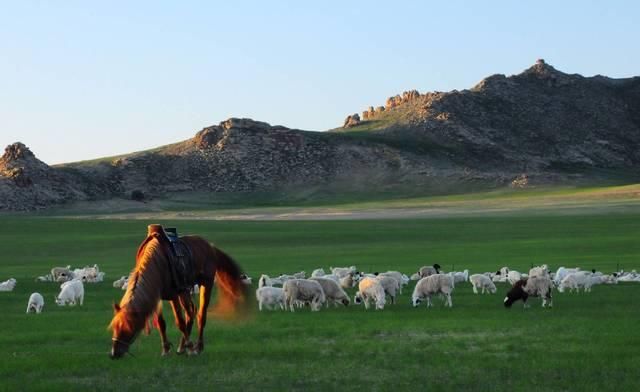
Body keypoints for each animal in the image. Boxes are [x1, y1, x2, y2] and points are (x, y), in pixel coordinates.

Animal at [107, 225, 248, 360]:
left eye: (128, 326)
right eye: (114, 327)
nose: (114, 354)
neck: (158, 263)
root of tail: (210, 246)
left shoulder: (174, 295)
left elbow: (179, 322)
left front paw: (190, 348)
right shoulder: (157, 297)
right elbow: (161, 323)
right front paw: (166, 350)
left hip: (205, 284)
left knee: (200, 315)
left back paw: (197, 347)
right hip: (185, 291)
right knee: (190, 312)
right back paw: (183, 346)